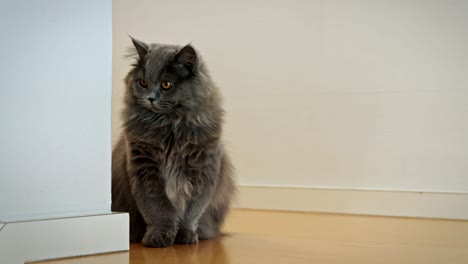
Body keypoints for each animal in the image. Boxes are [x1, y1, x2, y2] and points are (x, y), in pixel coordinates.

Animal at [109, 37, 234, 248]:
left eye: (166, 84)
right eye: (143, 82)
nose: (150, 98)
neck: (170, 125)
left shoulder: (203, 170)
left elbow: (191, 212)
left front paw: (185, 235)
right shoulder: (145, 169)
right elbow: (157, 210)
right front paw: (159, 237)